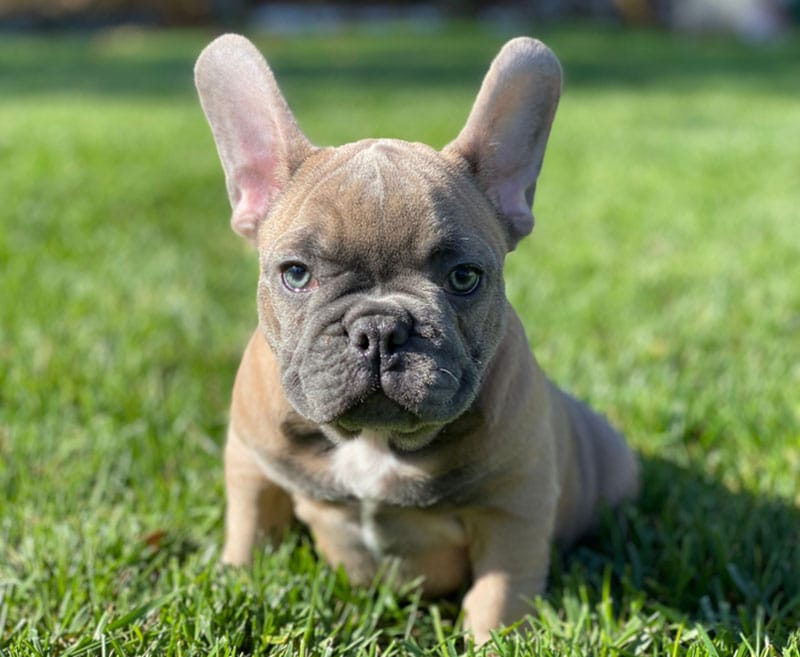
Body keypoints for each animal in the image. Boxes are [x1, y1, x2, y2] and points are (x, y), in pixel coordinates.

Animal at [197, 34, 640, 640]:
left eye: (464, 278)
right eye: (296, 274)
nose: (380, 328)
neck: (373, 442)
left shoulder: (512, 508)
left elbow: (499, 593)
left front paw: (491, 641)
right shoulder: (251, 465)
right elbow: (249, 536)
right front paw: (235, 586)